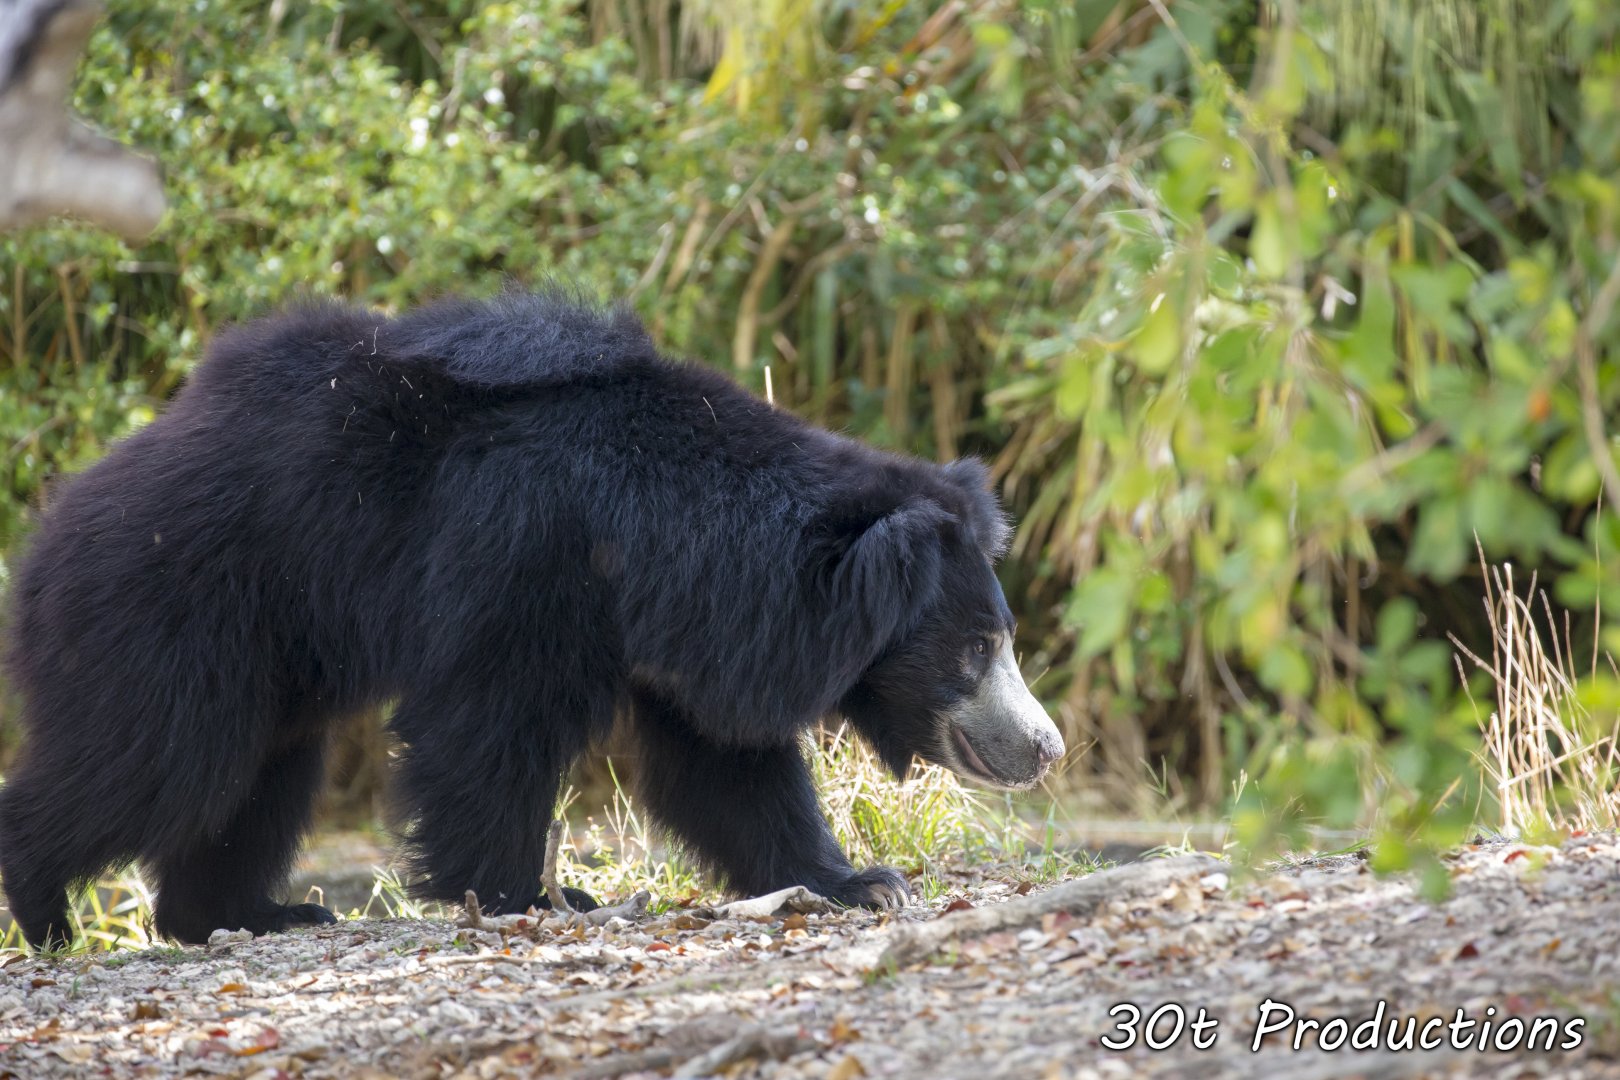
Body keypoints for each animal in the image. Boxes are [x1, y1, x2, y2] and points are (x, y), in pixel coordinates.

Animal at [0, 291, 1065, 949]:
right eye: (976, 649)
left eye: (1001, 639)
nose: (1048, 747)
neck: (657, 527)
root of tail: (51, 532)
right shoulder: (526, 555)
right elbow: (490, 723)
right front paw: (537, 894)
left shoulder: (681, 627)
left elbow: (726, 767)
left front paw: (860, 883)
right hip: (172, 610)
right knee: (155, 757)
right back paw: (46, 912)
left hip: (264, 657)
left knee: (254, 779)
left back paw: (256, 914)